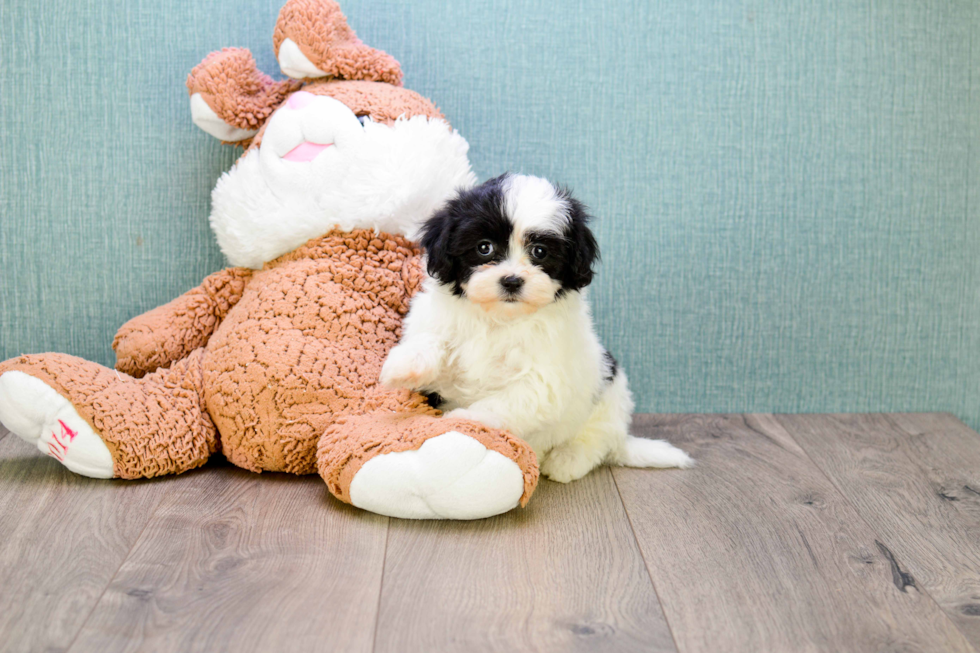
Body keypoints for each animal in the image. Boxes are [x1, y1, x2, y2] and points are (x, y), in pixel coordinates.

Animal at [378, 176, 692, 482]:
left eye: (540, 252)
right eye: (484, 247)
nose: (512, 280)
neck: (500, 319)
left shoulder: (543, 379)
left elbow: (504, 402)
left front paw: (463, 419)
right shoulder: (443, 322)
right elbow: (431, 336)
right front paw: (404, 366)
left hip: (609, 392)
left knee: (596, 439)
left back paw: (567, 459)